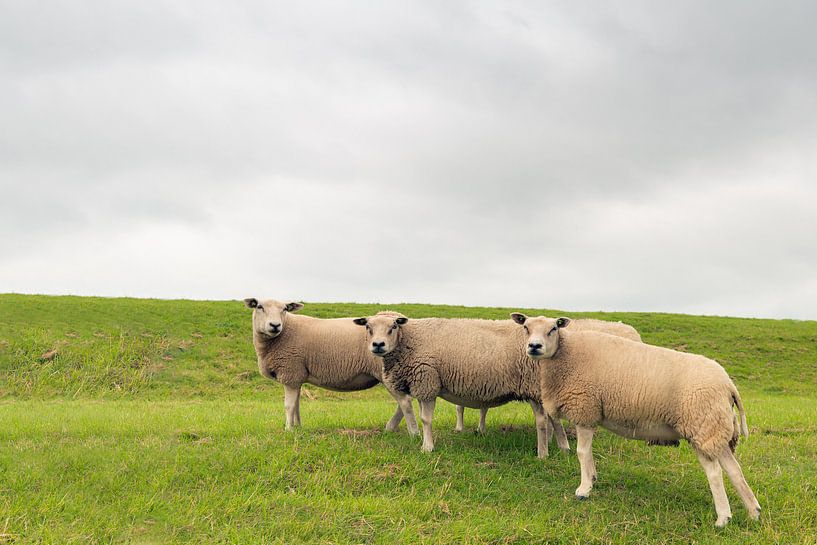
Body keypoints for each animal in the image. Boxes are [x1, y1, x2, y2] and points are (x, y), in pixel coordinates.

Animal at [242, 298, 418, 434]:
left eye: (285, 309)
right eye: (259, 306)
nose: (275, 325)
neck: (285, 331)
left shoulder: (290, 372)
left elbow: (289, 405)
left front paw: (288, 430)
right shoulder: (297, 375)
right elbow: (297, 404)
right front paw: (298, 427)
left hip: (389, 372)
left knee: (405, 402)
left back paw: (409, 432)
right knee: (403, 402)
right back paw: (391, 428)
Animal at [350, 310, 644, 454]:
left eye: (393, 327)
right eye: (368, 328)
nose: (378, 345)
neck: (409, 342)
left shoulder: (427, 380)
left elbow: (425, 419)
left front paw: (427, 447)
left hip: (534, 386)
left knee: (547, 419)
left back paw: (548, 450)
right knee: (552, 419)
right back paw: (562, 446)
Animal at [512, 314, 760, 528]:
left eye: (553, 328)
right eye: (526, 328)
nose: (534, 346)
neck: (566, 354)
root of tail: (729, 385)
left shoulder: (584, 408)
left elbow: (582, 452)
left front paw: (583, 489)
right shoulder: (590, 413)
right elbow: (589, 452)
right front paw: (592, 479)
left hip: (701, 427)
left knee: (715, 472)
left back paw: (723, 518)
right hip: (715, 430)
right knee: (734, 470)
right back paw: (753, 512)